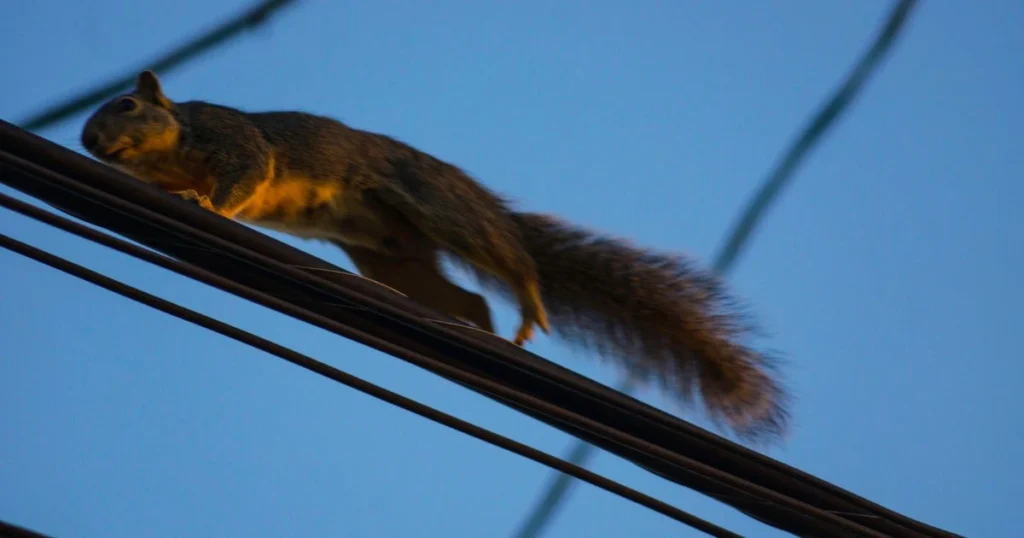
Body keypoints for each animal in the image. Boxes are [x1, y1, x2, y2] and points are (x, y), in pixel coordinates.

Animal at [81, 70, 790, 440]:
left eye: (126, 104)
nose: (88, 142)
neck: (172, 146)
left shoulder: (236, 144)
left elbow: (241, 177)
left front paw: (208, 205)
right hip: (394, 258)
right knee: (465, 297)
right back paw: (473, 338)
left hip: (433, 202)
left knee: (510, 258)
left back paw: (527, 301)